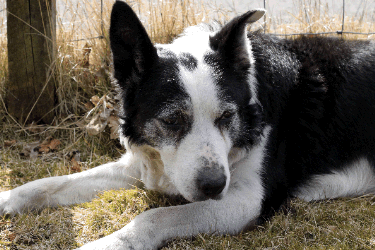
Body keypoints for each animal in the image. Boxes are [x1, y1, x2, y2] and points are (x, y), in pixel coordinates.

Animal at [0, 0, 375, 249]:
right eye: (171, 120)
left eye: (227, 117)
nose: (213, 186)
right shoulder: (146, 163)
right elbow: (49, 184)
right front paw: (7, 198)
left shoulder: (246, 200)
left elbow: (155, 216)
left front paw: (108, 243)